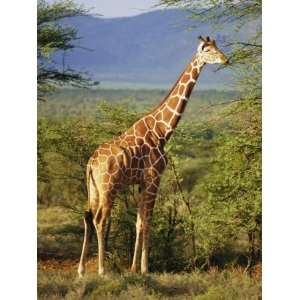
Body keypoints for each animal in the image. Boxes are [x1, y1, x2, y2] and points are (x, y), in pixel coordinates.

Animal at [77, 35, 227, 276]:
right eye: (208, 50)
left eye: (218, 47)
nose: (225, 59)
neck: (163, 130)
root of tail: (91, 162)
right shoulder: (154, 178)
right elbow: (148, 221)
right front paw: (145, 268)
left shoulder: (141, 182)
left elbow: (139, 222)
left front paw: (133, 268)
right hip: (108, 186)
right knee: (100, 219)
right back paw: (101, 269)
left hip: (93, 188)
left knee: (87, 217)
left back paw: (81, 270)